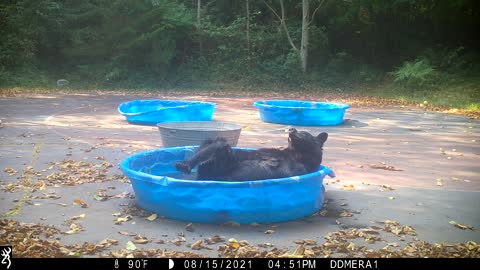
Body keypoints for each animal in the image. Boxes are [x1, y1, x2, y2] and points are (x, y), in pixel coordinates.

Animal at [174, 128, 328, 181]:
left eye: (303, 132)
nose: (292, 129)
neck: (296, 154)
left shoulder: (300, 168)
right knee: (213, 142)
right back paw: (186, 164)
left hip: (223, 164)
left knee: (220, 145)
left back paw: (185, 166)